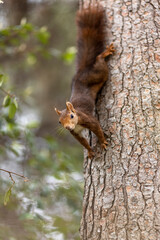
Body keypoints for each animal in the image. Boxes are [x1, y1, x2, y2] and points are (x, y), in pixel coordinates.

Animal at [55, 3, 115, 159]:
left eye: (71, 115)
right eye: (59, 122)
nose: (68, 127)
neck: (77, 124)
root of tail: (82, 71)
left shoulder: (88, 119)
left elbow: (97, 129)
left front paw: (103, 142)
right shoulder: (75, 133)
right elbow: (83, 142)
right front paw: (89, 151)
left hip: (98, 74)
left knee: (99, 62)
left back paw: (104, 53)